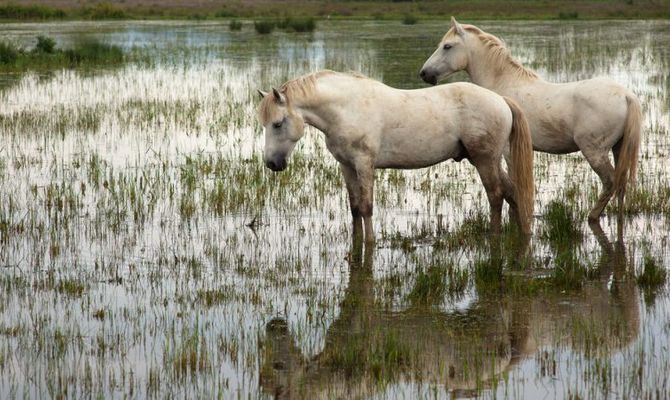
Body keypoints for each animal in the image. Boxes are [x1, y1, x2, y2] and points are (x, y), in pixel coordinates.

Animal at [258, 70, 536, 242]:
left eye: (278, 123)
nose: (272, 163)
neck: (347, 108)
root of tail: (501, 99)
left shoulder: (364, 164)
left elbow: (366, 207)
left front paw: (370, 244)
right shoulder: (347, 166)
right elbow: (354, 208)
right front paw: (356, 242)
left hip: (485, 161)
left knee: (496, 196)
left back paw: (495, 236)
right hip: (489, 161)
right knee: (512, 193)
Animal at [422, 17, 644, 222]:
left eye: (447, 46)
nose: (424, 73)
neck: (504, 84)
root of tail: (626, 96)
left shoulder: (508, 151)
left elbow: (515, 183)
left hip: (594, 151)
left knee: (610, 181)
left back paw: (592, 216)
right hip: (618, 148)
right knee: (620, 183)